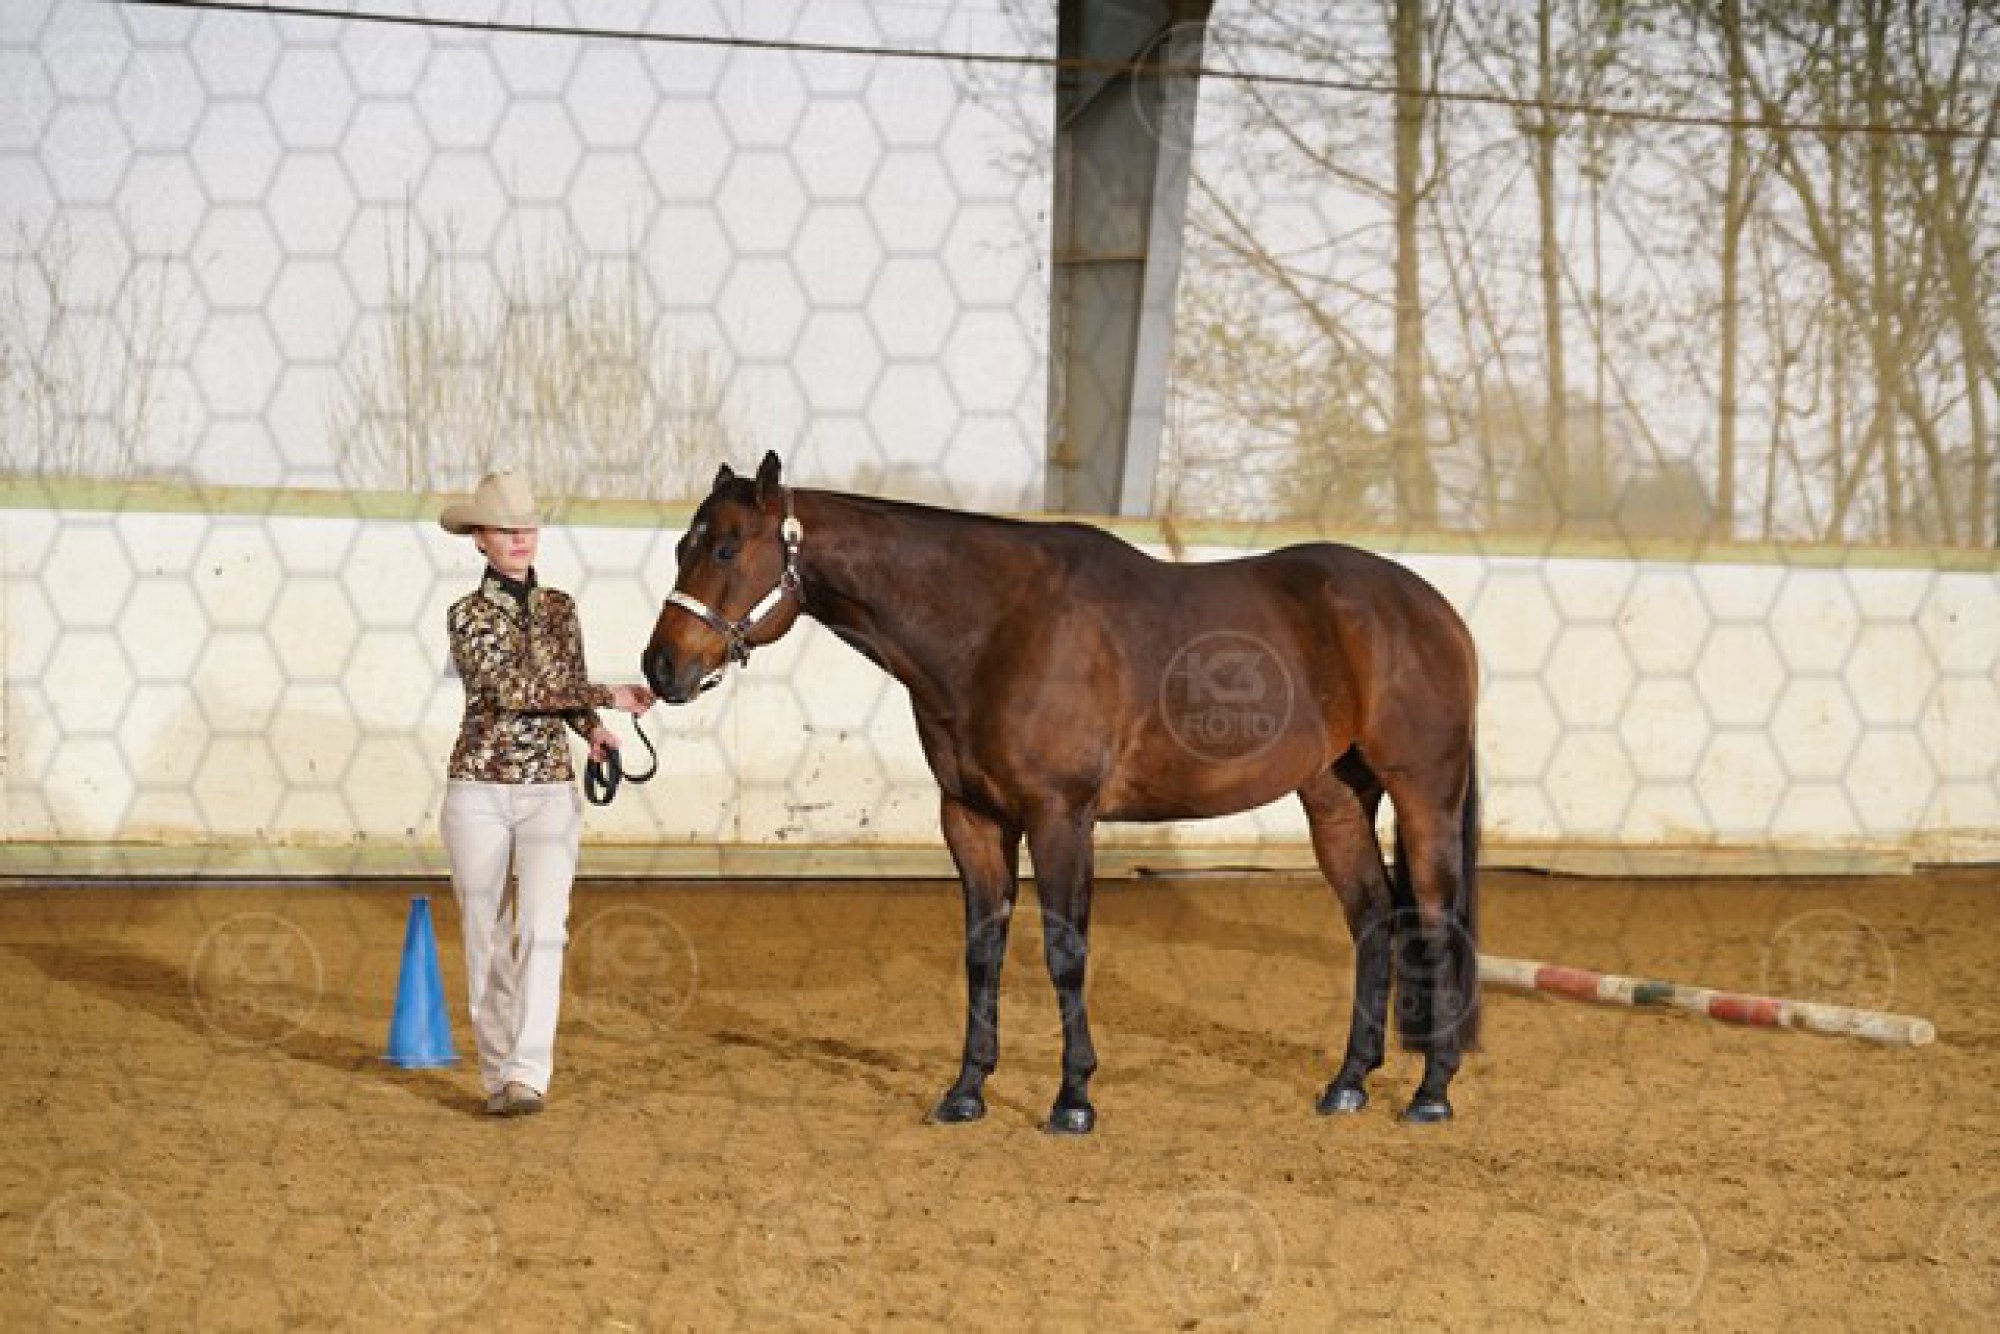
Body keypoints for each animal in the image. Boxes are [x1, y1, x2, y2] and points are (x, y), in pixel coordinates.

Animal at [642, 452, 1482, 1134]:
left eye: (726, 547)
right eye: (683, 547)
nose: (661, 667)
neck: (995, 627)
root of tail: (1431, 607)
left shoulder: (1061, 818)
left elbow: (1064, 951)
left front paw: (1073, 1099)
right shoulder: (973, 820)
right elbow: (983, 952)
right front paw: (966, 1093)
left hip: (1424, 793)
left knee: (1436, 918)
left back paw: (1432, 1094)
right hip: (1335, 799)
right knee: (1373, 919)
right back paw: (1349, 1083)